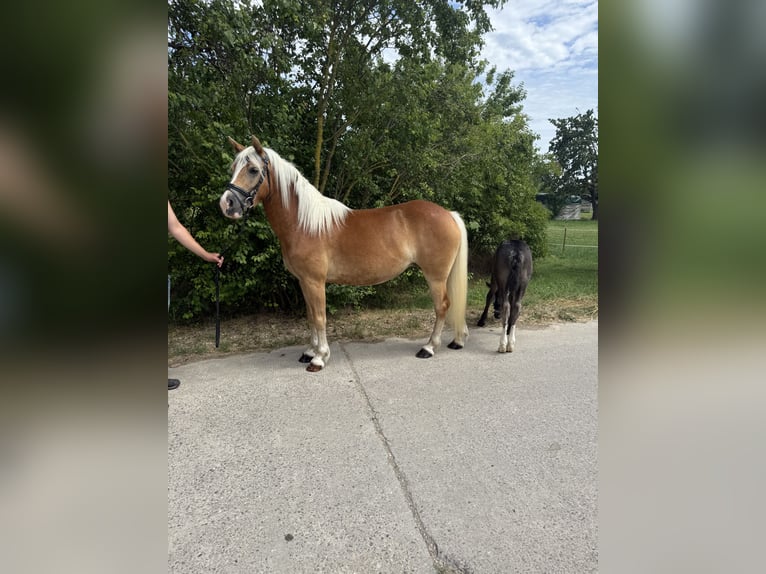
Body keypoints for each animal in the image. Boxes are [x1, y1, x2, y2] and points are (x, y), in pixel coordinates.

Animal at [219, 136, 468, 372]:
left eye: (253, 170)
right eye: (232, 168)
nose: (226, 204)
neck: (304, 224)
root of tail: (448, 214)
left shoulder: (315, 281)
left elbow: (320, 317)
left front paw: (319, 358)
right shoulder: (303, 281)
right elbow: (310, 316)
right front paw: (309, 352)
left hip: (435, 276)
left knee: (442, 306)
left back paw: (429, 347)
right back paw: (457, 340)